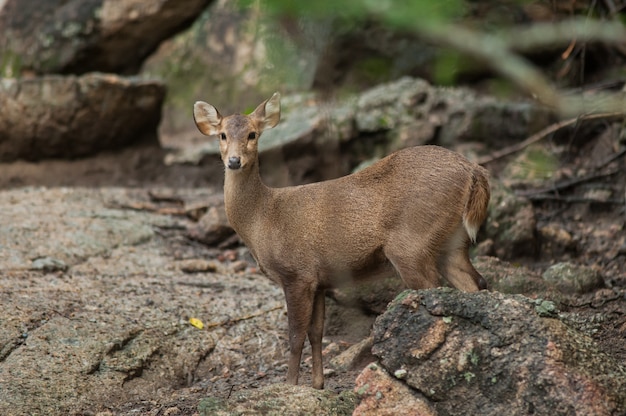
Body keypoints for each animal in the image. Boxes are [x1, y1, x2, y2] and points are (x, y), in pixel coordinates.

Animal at [193, 92, 490, 390]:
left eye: (252, 134)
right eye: (222, 135)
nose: (234, 161)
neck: (262, 219)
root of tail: (474, 170)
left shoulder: (297, 273)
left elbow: (295, 335)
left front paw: (290, 384)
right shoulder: (319, 281)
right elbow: (316, 332)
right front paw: (318, 384)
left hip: (411, 242)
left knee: (435, 288)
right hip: (452, 243)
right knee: (476, 284)